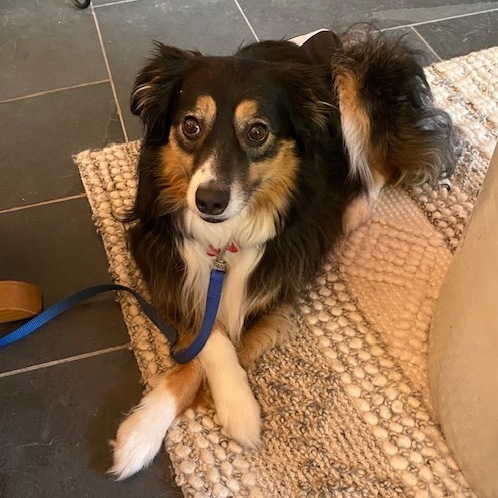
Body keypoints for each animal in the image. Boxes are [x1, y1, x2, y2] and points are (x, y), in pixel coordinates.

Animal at [109, 27, 460, 478]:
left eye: (257, 132)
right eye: (190, 125)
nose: (209, 201)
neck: (225, 240)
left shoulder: (276, 285)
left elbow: (214, 344)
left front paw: (233, 409)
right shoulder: (163, 262)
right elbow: (207, 338)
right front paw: (145, 431)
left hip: (356, 80)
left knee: (376, 166)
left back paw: (354, 209)